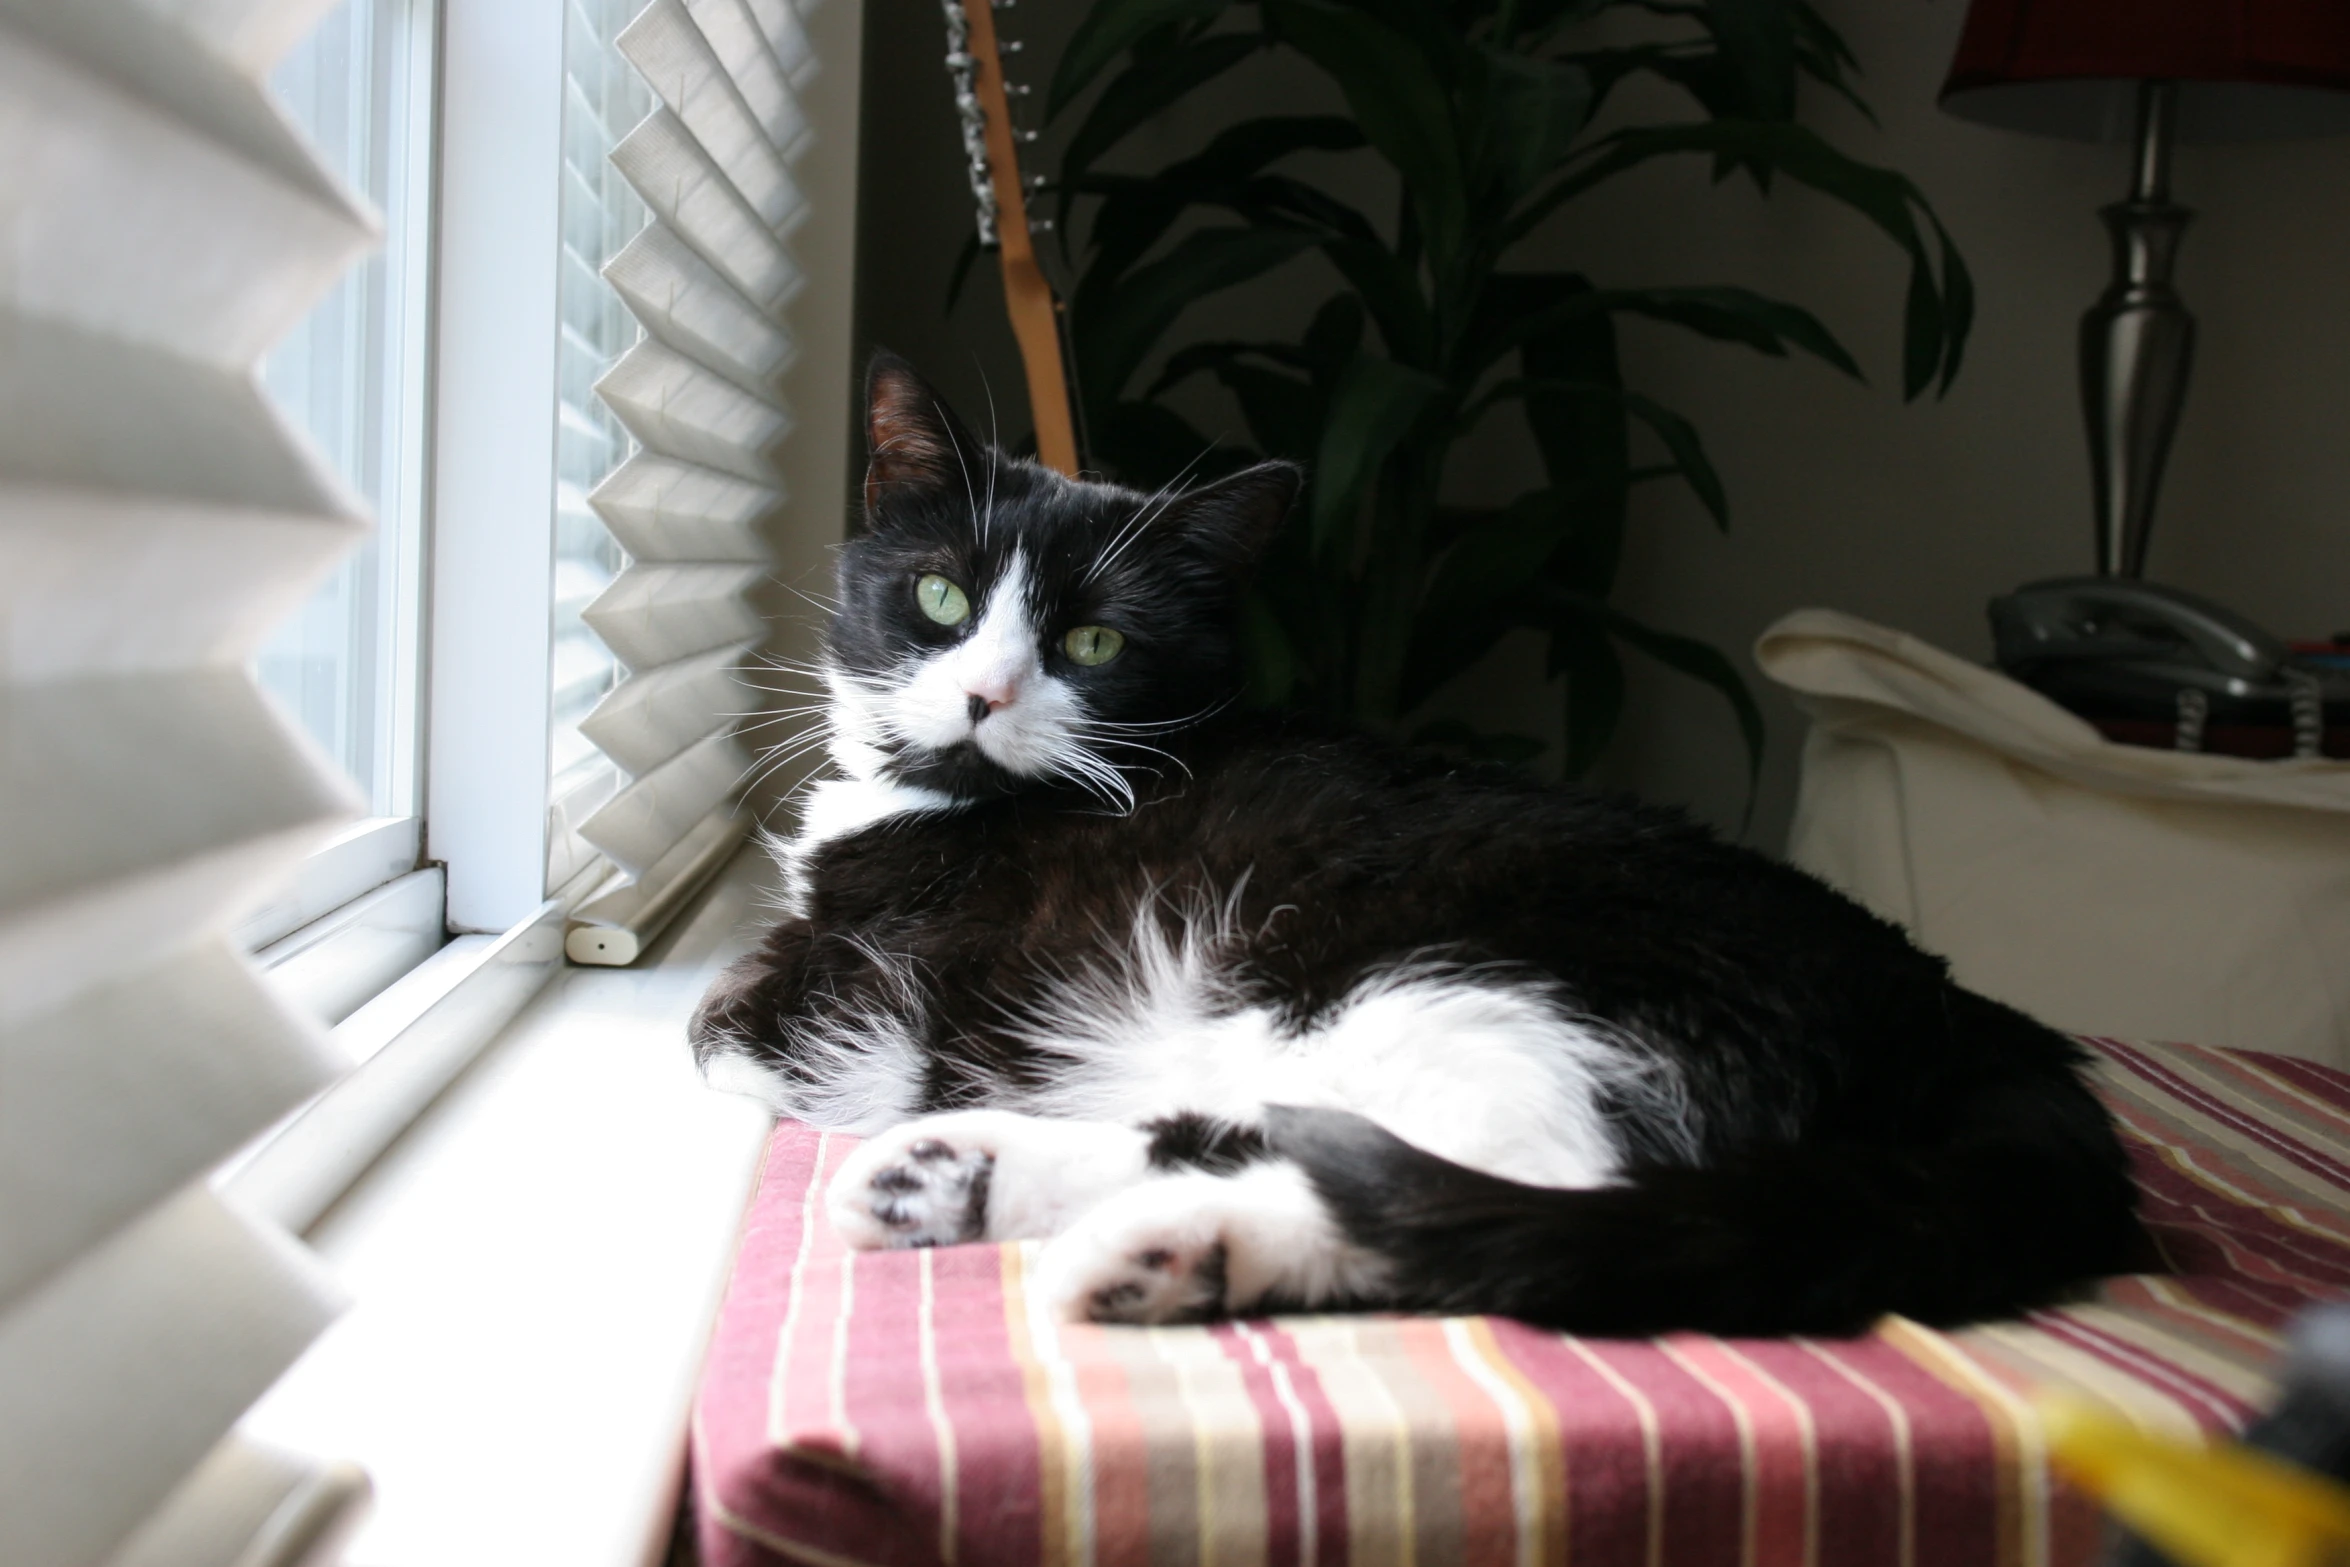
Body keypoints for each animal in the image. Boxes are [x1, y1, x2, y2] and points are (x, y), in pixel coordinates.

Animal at [690, 354, 2152, 1334]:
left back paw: (1156, 1245)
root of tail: (1964, 1018)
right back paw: (969, 1182)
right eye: (939, 597)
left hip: (1479, 982)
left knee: (1496, 1187)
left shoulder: (851, 997)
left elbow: (719, 1032)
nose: (985, 696)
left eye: (1093, 641)